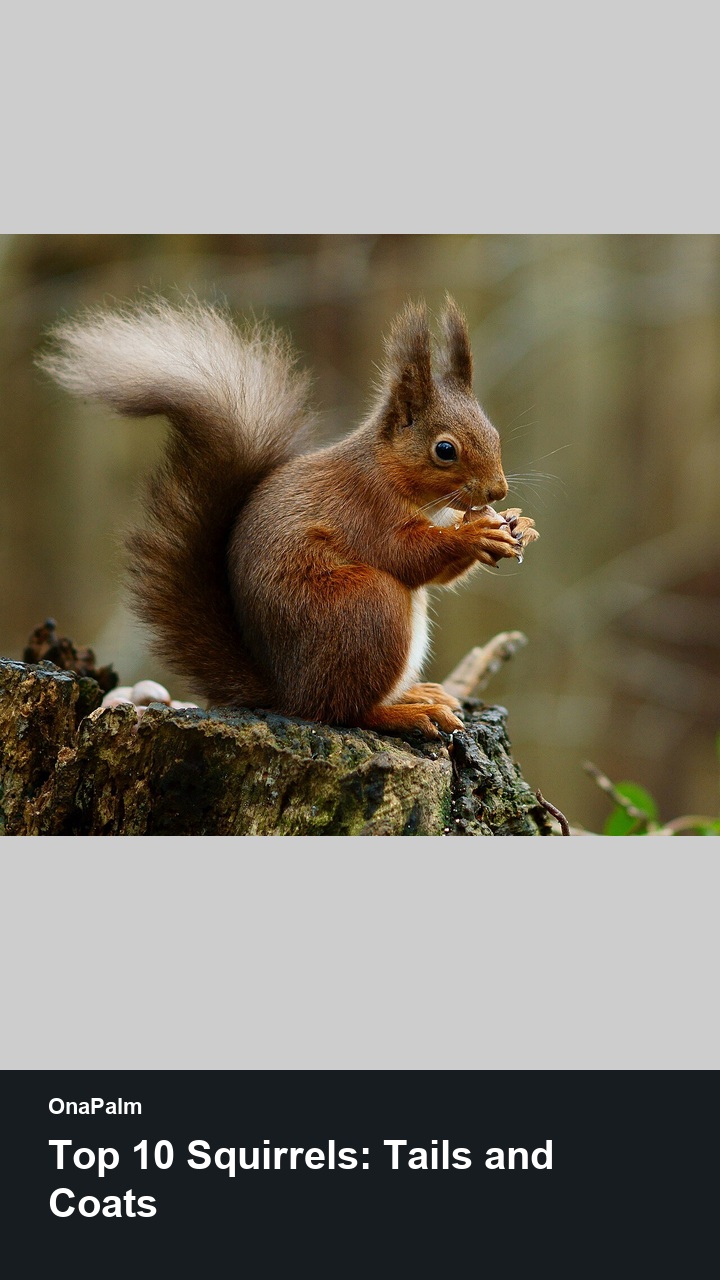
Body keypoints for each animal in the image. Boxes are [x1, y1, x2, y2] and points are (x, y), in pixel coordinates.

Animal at [38, 294, 538, 739]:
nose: (497, 490)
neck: (391, 474)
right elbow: (406, 555)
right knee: (342, 711)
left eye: (493, 432)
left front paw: (519, 524)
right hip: (365, 607)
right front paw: (475, 534)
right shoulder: (364, 507)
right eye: (445, 450)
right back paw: (406, 713)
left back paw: (417, 694)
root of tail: (286, 692)